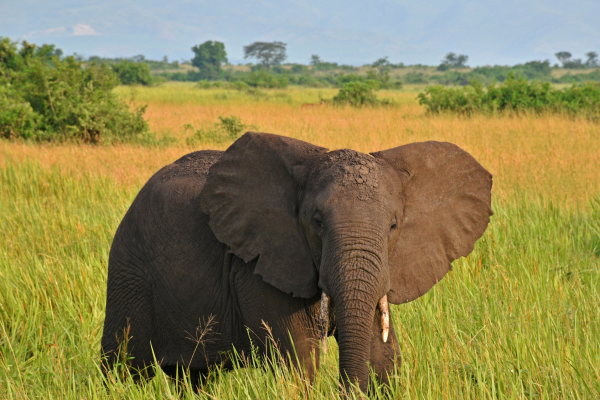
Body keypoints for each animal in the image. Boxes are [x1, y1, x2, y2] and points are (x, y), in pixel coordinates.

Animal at [99, 132, 492, 394]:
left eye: (394, 225)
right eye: (316, 222)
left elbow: (384, 357)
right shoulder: (258, 265)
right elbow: (299, 361)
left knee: (195, 376)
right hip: (129, 268)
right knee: (124, 368)